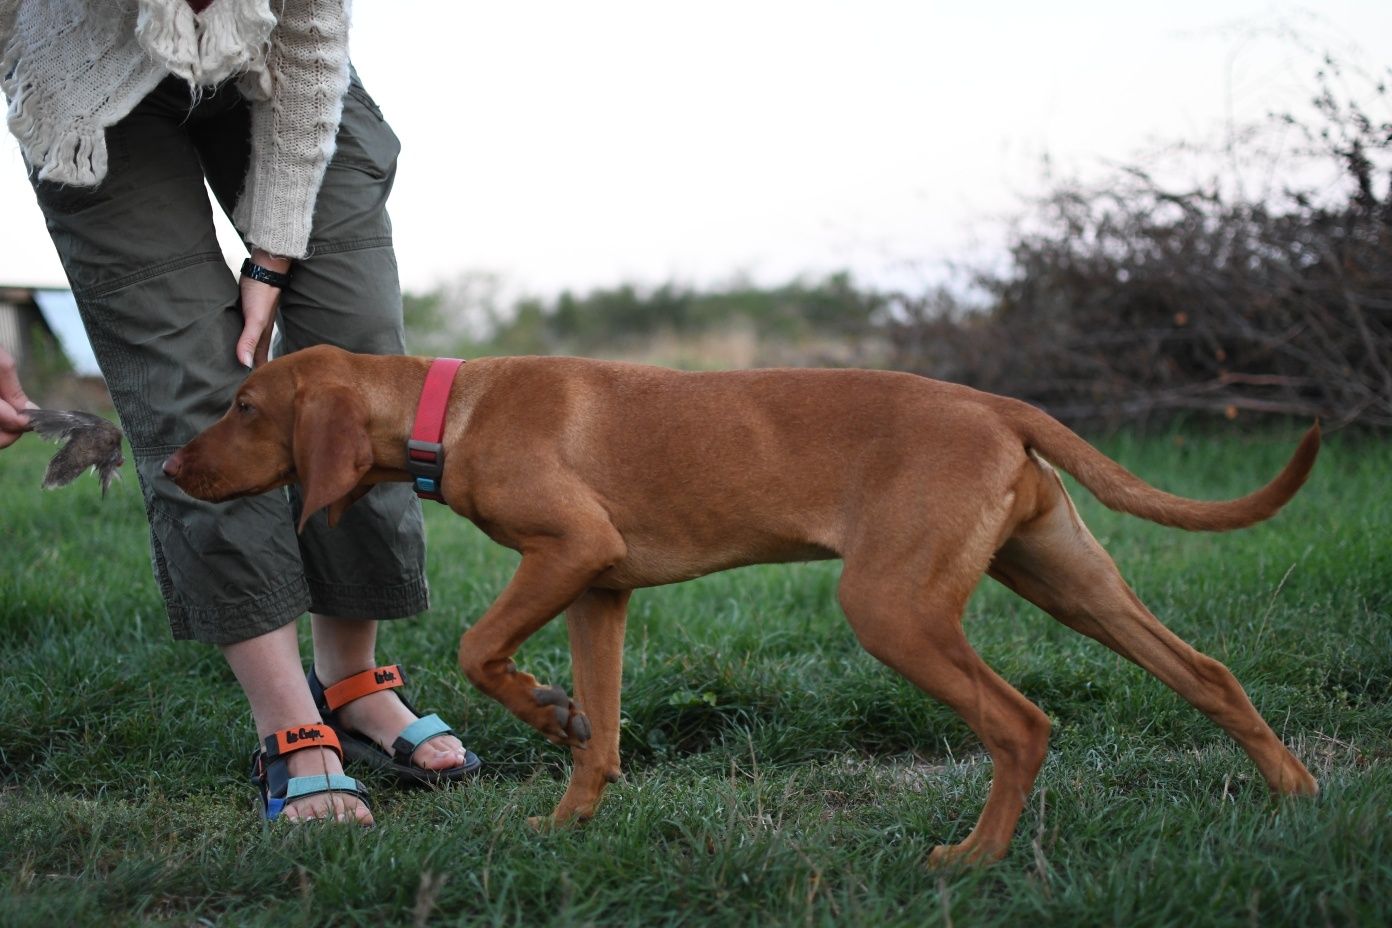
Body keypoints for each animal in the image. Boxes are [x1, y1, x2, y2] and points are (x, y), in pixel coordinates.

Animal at [162, 345, 1314, 868]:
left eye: (245, 405)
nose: (168, 466)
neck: (451, 406)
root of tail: (996, 404)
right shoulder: (601, 587)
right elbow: (604, 730)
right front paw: (568, 816)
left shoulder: (571, 549)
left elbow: (483, 645)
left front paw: (542, 711)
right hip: (1065, 575)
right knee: (1207, 671)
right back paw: (1295, 793)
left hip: (893, 607)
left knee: (1022, 723)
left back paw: (975, 858)